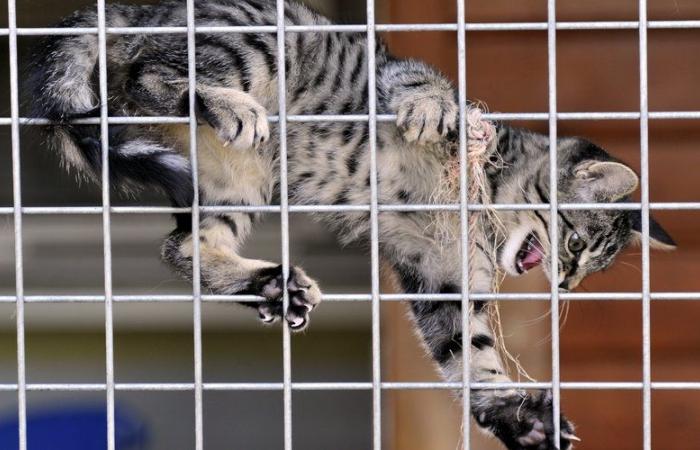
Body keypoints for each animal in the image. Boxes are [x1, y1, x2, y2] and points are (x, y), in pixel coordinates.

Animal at [30, 0, 676, 450]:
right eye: (577, 243)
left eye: (592, 267)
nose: (565, 282)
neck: (484, 203)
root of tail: (147, 10)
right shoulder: (406, 86)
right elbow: (423, 83)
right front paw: (431, 110)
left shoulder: (443, 279)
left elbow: (469, 352)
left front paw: (516, 418)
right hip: (259, 44)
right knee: (148, 75)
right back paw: (224, 105)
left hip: (236, 182)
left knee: (183, 245)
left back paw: (271, 283)